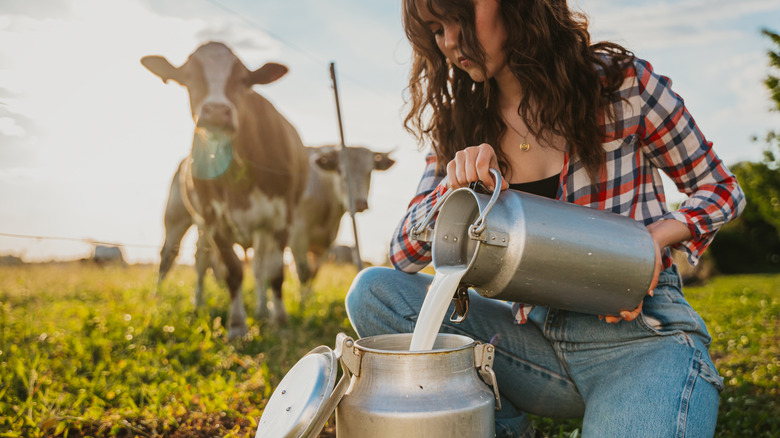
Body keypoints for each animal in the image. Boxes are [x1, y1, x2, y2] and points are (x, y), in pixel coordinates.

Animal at [143, 41, 308, 338]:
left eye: (243, 79)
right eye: (189, 77)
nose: (218, 111)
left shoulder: (281, 218)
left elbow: (274, 272)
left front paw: (279, 319)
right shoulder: (214, 219)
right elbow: (232, 270)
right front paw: (237, 325)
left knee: (255, 266)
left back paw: (261, 308)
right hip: (178, 217)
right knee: (175, 257)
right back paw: (168, 299)